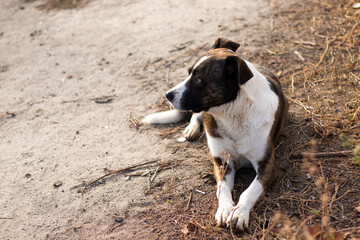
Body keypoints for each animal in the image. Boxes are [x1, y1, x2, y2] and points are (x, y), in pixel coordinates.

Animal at [142, 37, 288, 231]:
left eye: (198, 79)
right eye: (188, 73)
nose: (167, 95)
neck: (234, 114)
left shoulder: (267, 165)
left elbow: (250, 190)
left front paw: (240, 212)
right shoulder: (223, 161)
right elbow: (223, 188)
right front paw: (225, 209)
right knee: (197, 115)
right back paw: (192, 129)